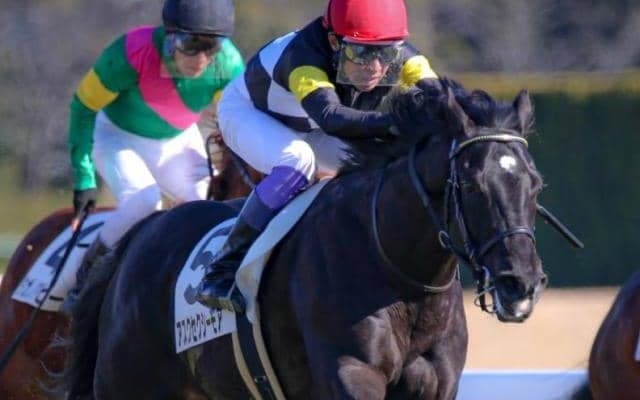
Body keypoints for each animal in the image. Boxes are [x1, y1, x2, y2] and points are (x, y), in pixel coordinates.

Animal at [62, 78, 553, 399]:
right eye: (470, 185)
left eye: (536, 185)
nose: (521, 285)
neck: (400, 276)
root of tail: (141, 235)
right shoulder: (351, 374)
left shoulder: (435, 382)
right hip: (130, 385)